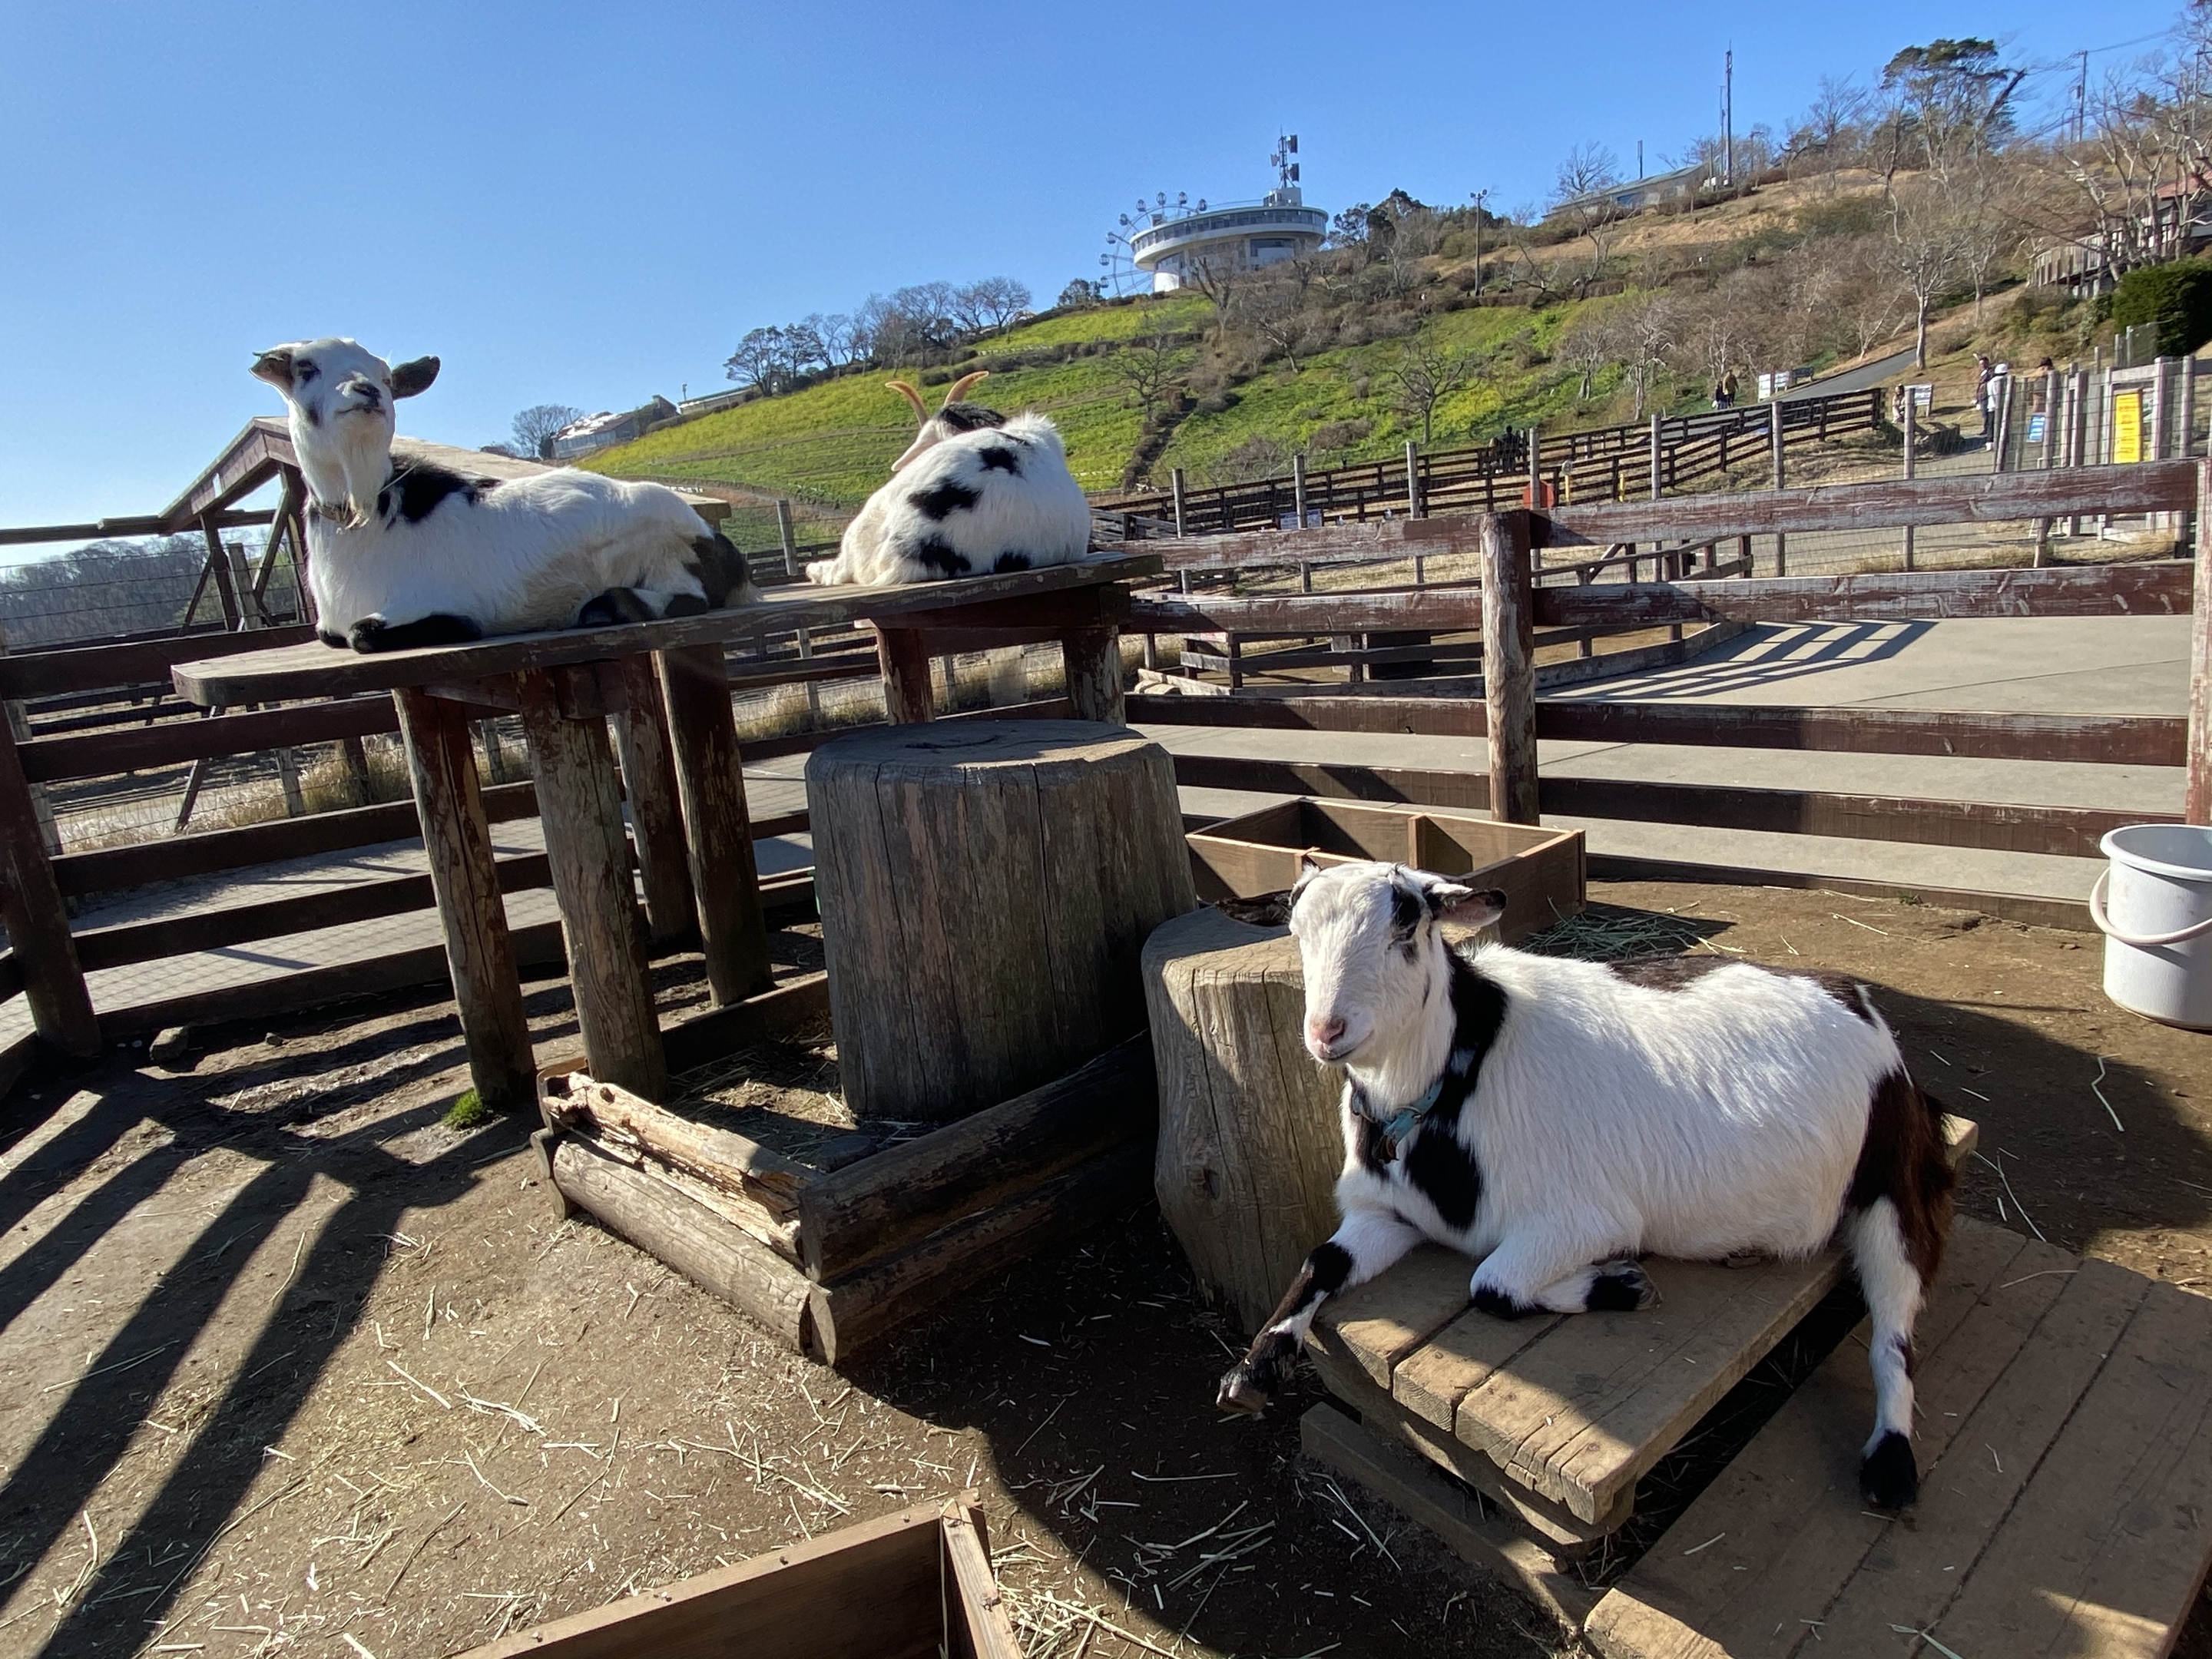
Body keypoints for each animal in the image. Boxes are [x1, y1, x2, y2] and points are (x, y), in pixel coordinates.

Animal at [254, 333, 756, 654]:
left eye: (386, 376)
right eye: (305, 369)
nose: (367, 391)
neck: (366, 515)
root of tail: (718, 541)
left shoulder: (417, 605)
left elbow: (364, 633)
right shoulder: (328, 627)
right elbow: (331, 635)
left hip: (666, 553)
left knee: (688, 598)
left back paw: (606, 606)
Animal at [1220, 863, 1964, 1512]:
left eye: (1408, 927)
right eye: (1295, 930)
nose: (1327, 1033)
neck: (1458, 1074)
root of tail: (1859, 1002)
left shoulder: (1584, 1219)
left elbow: (1491, 1285)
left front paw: (1622, 1284)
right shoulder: (1385, 1213)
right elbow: (1320, 1260)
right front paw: (1252, 1371)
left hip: (1892, 1189)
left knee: (1894, 1328)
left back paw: (1891, 1466)